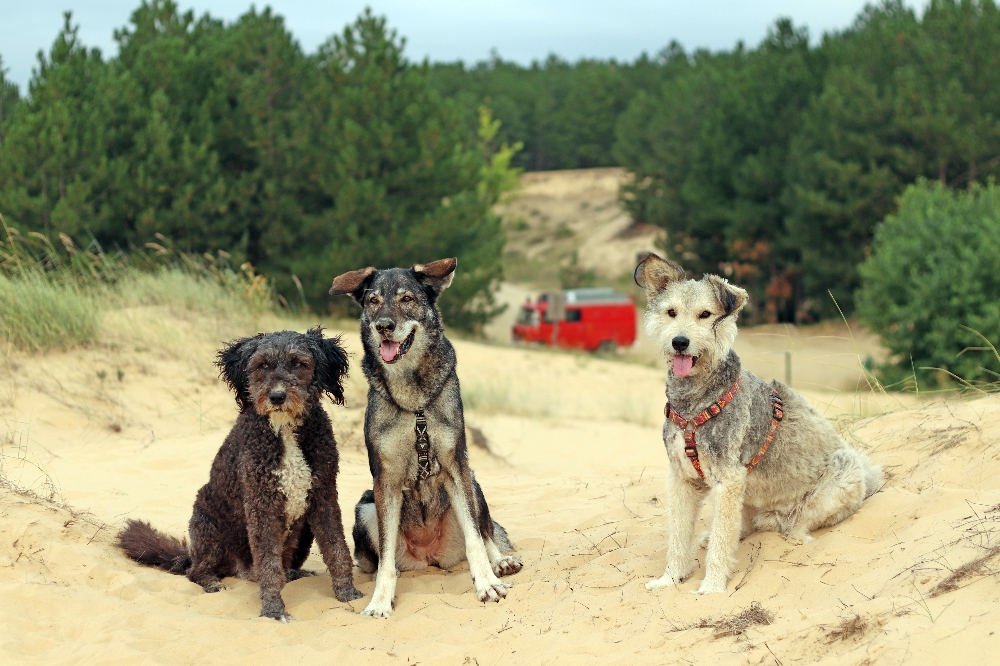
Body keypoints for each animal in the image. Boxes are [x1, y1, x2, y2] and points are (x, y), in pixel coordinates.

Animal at [116, 326, 364, 616]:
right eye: (261, 365)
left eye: (298, 364)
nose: (277, 397)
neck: (283, 429)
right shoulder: (262, 504)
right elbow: (269, 565)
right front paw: (273, 609)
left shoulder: (323, 496)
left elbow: (337, 550)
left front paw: (347, 593)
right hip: (209, 531)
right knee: (195, 571)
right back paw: (212, 582)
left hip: (303, 534)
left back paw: (295, 574)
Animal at [332, 255, 528, 616]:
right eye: (373, 301)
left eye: (407, 298)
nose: (383, 326)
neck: (414, 403)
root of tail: (430, 556)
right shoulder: (386, 479)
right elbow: (386, 560)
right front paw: (380, 600)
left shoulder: (455, 465)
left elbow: (475, 538)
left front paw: (487, 583)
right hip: (364, 507)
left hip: (472, 481)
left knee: (484, 532)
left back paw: (500, 562)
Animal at [636, 253, 880, 592]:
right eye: (671, 312)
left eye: (705, 314)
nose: (680, 342)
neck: (695, 403)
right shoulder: (682, 479)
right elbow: (678, 536)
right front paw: (671, 579)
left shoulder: (728, 479)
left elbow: (721, 543)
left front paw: (712, 588)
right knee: (742, 525)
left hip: (843, 472)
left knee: (794, 524)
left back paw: (791, 533)